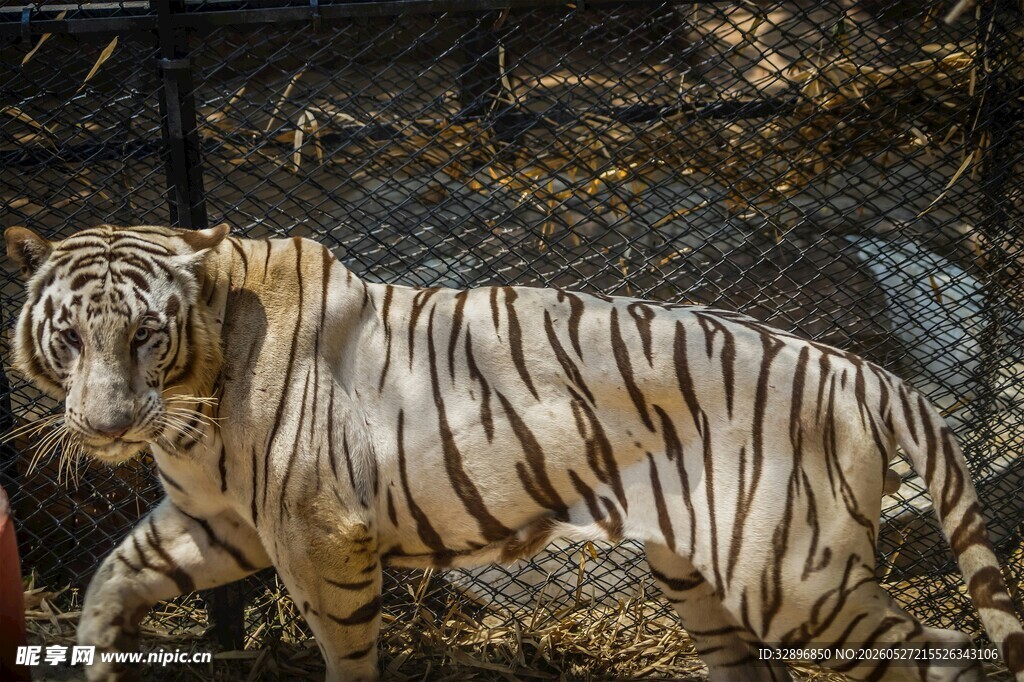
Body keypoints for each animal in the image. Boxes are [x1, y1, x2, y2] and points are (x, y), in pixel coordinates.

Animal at [5, 222, 1024, 682]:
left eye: (144, 334)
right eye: (72, 337)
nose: (105, 426)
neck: (191, 399)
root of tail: (863, 370)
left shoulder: (318, 535)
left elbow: (345, 651)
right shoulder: (217, 520)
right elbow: (111, 578)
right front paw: (102, 660)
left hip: (792, 578)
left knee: (946, 654)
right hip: (704, 573)